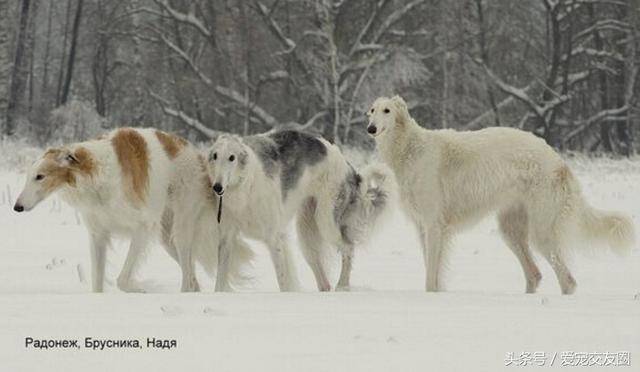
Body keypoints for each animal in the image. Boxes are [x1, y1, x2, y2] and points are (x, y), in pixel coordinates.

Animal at [14, 128, 250, 294]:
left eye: (40, 176)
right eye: (29, 176)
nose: (17, 207)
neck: (94, 175)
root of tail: (197, 154)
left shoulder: (142, 228)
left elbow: (122, 279)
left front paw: (144, 288)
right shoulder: (98, 234)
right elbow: (97, 283)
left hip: (182, 227)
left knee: (188, 277)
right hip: (167, 238)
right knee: (192, 279)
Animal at [205, 130, 396, 290]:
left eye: (232, 157)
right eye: (215, 156)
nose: (217, 187)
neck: (244, 187)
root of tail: (350, 168)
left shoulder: (274, 237)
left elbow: (283, 281)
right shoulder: (227, 238)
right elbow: (219, 282)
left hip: (326, 222)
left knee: (348, 248)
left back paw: (342, 286)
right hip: (307, 235)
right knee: (324, 282)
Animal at [368, 95, 632, 294]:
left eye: (387, 110)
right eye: (371, 110)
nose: (370, 128)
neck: (411, 148)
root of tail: (559, 161)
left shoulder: (434, 225)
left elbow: (431, 277)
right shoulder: (423, 227)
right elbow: (433, 271)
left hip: (542, 231)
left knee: (568, 281)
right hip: (511, 229)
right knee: (535, 274)